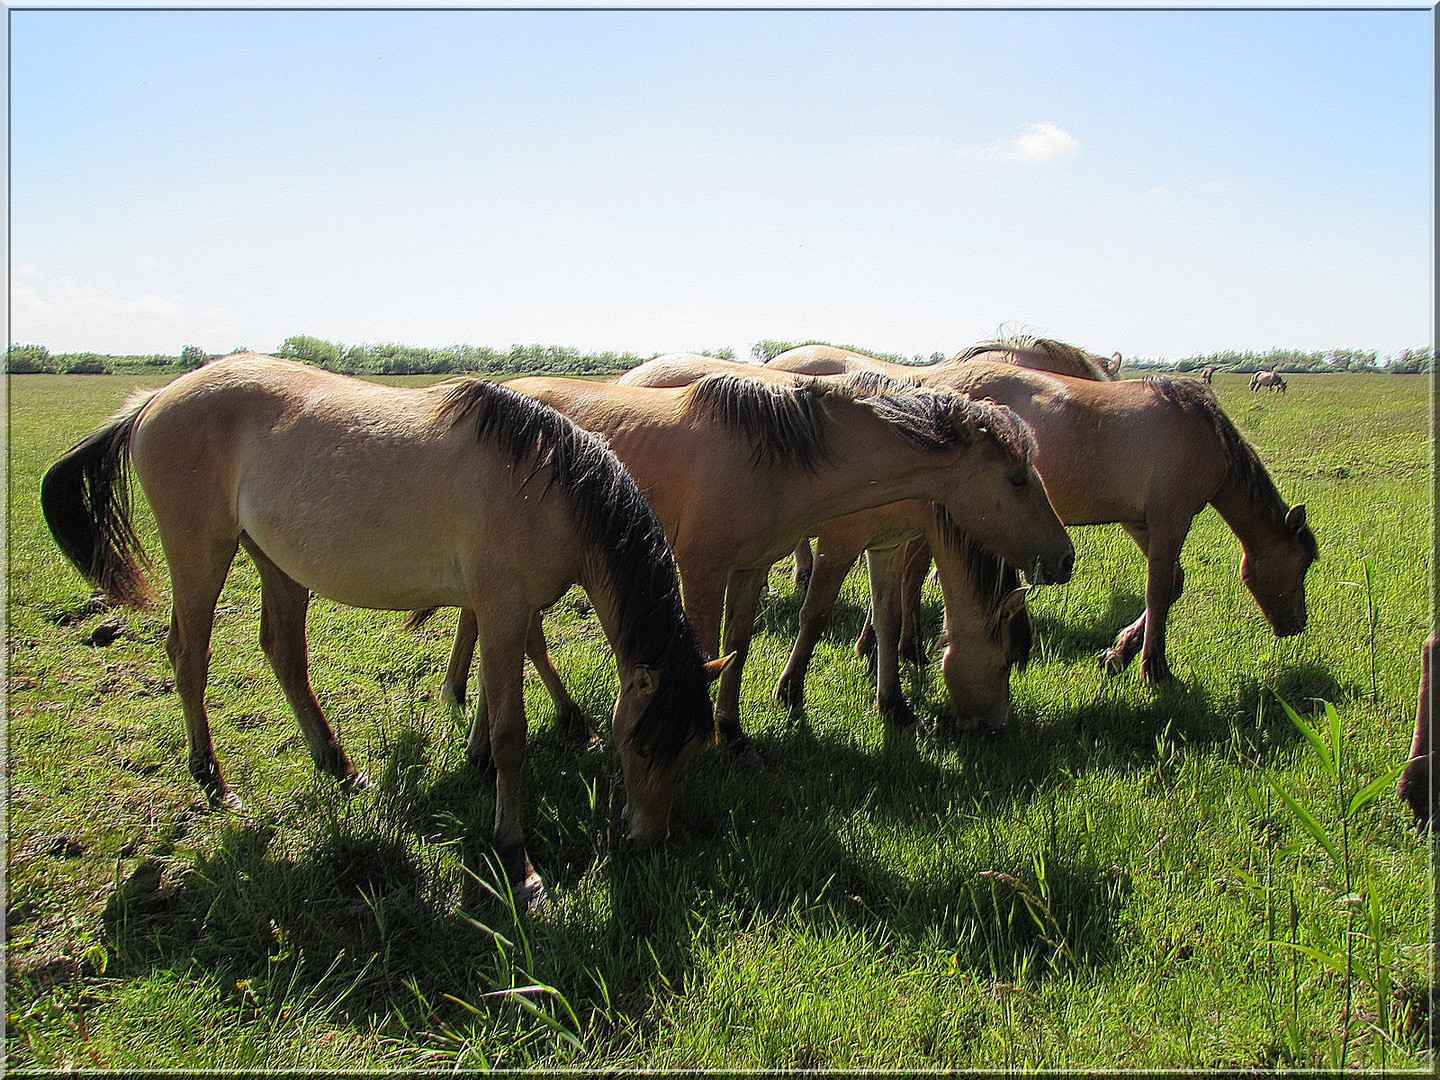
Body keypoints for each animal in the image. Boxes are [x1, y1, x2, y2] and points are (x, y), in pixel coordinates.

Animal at [39, 357, 725, 904]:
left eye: (695, 748)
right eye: (641, 746)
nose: (649, 840)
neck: (551, 487)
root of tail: (156, 398)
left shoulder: (504, 611)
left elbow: (496, 688)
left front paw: (477, 756)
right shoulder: (503, 608)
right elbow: (512, 733)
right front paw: (516, 856)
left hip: (273, 559)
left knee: (283, 653)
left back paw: (339, 766)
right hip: (199, 554)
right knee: (189, 656)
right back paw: (213, 780)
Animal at [443, 371, 1077, 760]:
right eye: (1016, 479)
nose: (1065, 558)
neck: (771, 458)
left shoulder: (753, 568)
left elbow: (740, 645)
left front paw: (733, 731)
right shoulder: (703, 569)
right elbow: (711, 645)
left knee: (498, 627)